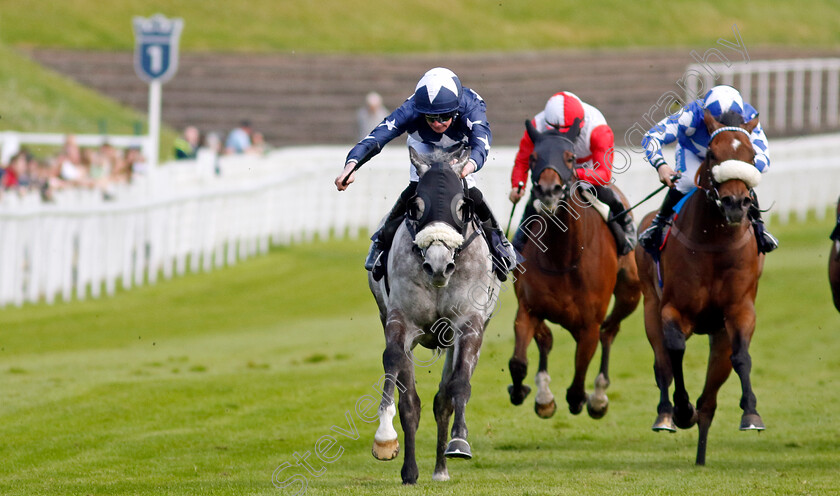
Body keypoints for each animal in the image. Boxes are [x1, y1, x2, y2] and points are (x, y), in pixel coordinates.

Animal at [368, 144, 498, 484]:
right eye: (415, 206)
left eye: (462, 207)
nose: (438, 264)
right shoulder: (401, 320)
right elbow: (393, 363)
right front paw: (384, 438)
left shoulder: (469, 324)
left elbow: (459, 385)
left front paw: (460, 442)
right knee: (412, 402)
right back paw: (411, 471)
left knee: (444, 399)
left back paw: (441, 469)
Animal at [506, 119, 644, 418]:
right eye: (533, 157)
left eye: (569, 158)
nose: (549, 191)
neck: (562, 257)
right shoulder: (528, 308)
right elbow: (519, 361)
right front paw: (528, 392)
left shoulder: (590, 323)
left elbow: (579, 376)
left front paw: (584, 398)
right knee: (547, 339)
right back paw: (544, 394)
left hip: (630, 293)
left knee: (609, 331)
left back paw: (599, 396)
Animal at [636, 109, 768, 464]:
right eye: (711, 154)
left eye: (752, 156)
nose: (736, 203)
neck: (714, 245)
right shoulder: (673, 310)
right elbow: (675, 351)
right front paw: (682, 411)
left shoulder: (739, 311)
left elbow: (742, 357)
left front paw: (751, 413)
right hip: (650, 308)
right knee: (662, 363)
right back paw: (667, 415)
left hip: (718, 334)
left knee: (711, 393)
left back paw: (701, 448)